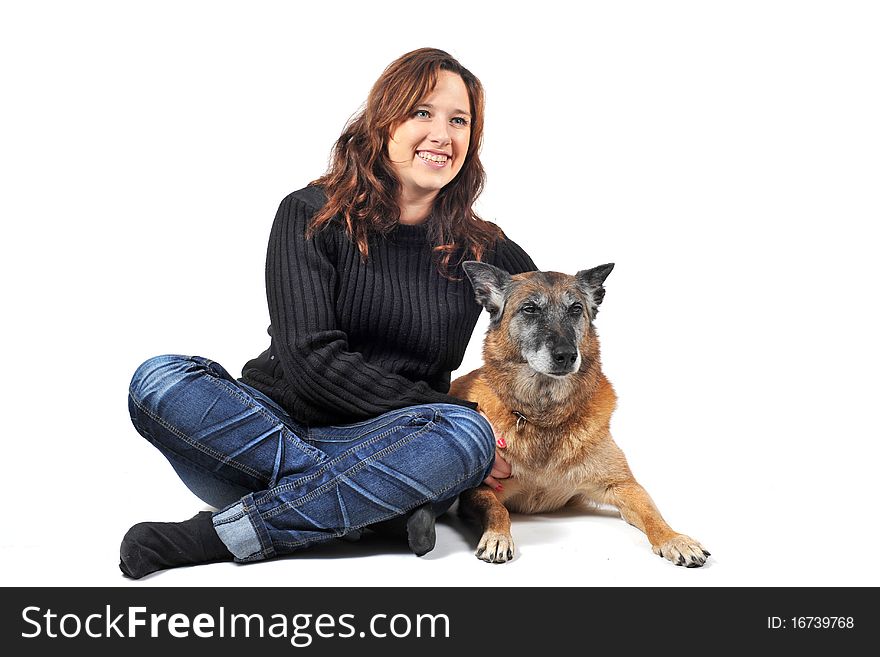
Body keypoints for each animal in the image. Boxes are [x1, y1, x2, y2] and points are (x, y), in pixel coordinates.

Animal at [450, 258, 712, 568]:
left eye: (575, 308)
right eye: (530, 309)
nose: (566, 355)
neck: (543, 417)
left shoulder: (625, 486)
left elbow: (652, 514)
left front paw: (674, 539)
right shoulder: (480, 491)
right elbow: (496, 510)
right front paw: (497, 536)